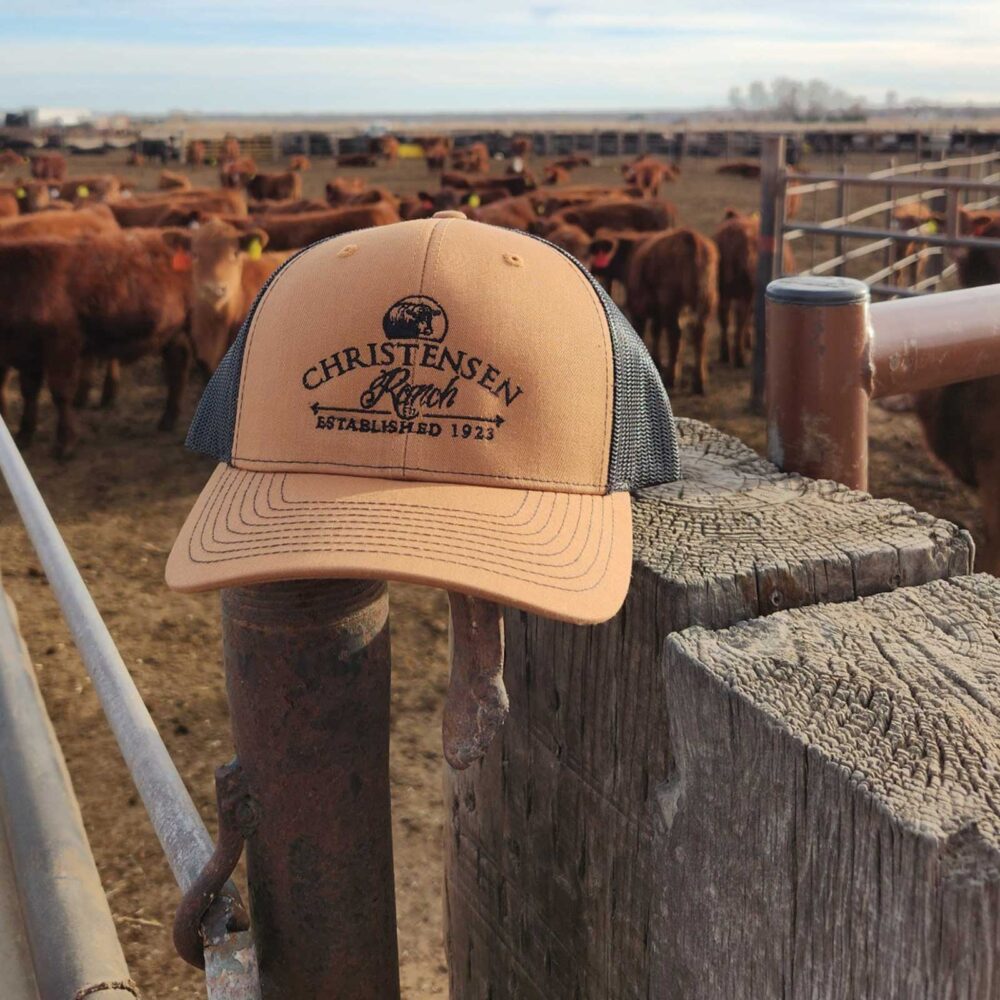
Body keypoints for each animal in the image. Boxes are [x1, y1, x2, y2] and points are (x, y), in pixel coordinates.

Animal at [624, 229, 720, 396]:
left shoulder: (639, 309)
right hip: (706, 303)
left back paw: (672, 378)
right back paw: (699, 383)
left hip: (671, 304)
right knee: (699, 338)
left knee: (675, 336)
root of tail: (690, 236)